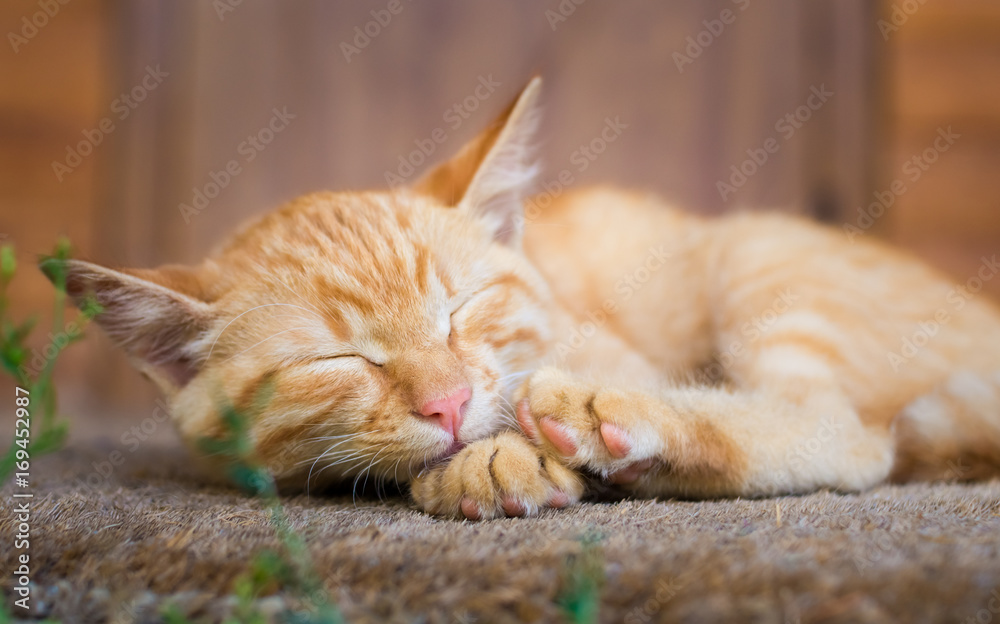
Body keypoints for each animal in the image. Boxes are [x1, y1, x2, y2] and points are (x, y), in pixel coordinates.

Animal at [52, 78, 1000, 516]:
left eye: (460, 310)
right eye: (341, 360)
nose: (447, 403)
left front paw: (504, 451)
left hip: (761, 264)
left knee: (846, 437)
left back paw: (622, 420)